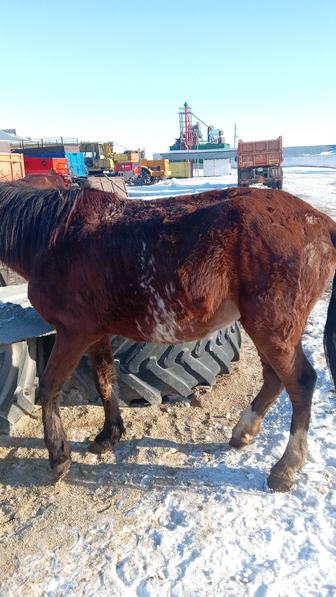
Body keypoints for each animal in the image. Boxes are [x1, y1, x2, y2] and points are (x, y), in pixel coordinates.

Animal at [0, 180, 336, 488]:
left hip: (272, 326)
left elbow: (50, 387)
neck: (55, 236)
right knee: (273, 378)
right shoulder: (96, 333)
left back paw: (286, 467)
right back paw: (244, 432)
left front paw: (59, 457)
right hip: (266, 327)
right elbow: (105, 380)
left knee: (301, 382)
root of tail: (320, 222)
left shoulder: (72, 333)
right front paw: (109, 435)